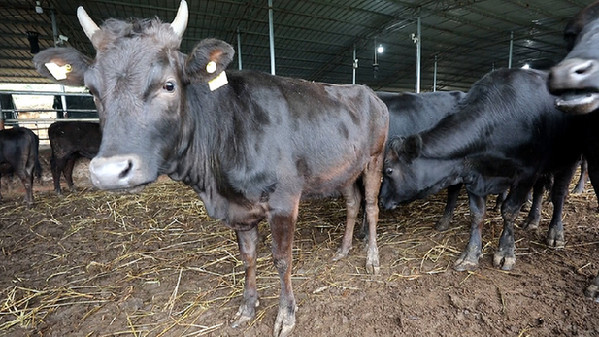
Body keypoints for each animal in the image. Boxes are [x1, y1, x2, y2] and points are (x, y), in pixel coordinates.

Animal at [31, 1, 390, 334]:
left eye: (169, 85)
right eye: (92, 91)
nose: (110, 169)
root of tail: (366, 90)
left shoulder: (284, 201)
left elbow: (281, 258)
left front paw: (286, 315)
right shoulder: (239, 209)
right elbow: (248, 257)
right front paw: (247, 307)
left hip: (375, 157)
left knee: (371, 206)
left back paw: (372, 259)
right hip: (345, 167)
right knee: (352, 204)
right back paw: (343, 250)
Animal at [380, 67, 580, 272]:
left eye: (388, 170)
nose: (381, 200)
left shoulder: (527, 174)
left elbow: (510, 210)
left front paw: (506, 251)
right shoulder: (474, 176)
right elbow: (477, 215)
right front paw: (471, 254)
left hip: (568, 161)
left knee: (558, 195)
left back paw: (555, 233)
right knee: (540, 190)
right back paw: (532, 219)